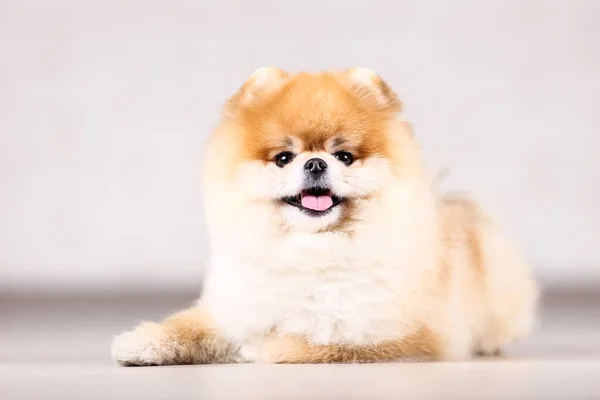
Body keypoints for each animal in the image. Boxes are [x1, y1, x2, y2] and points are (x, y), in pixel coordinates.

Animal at [110, 67, 536, 364]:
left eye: (343, 155)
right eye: (284, 157)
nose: (315, 163)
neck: (310, 251)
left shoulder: (401, 335)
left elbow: (319, 343)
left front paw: (260, 348)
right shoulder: (233, 308)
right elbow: (187, 325)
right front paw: (141, 342)